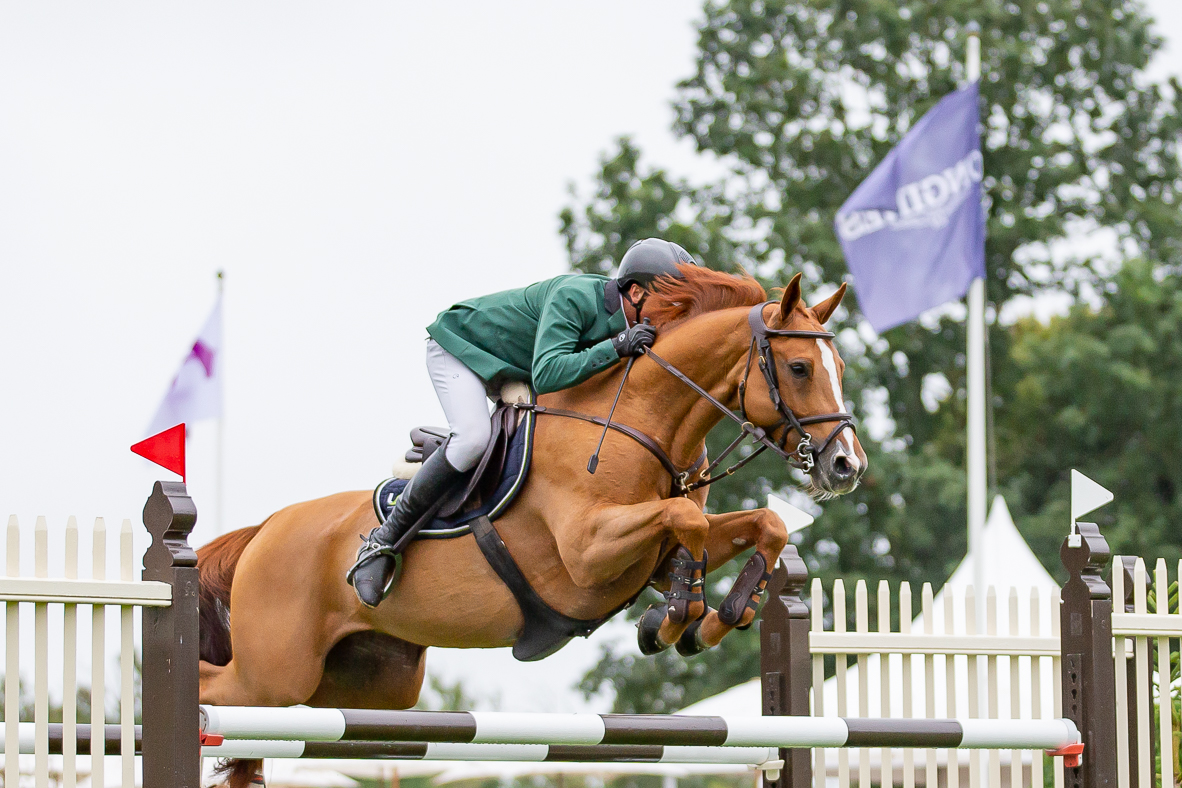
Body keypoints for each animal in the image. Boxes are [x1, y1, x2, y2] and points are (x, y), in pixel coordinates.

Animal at [197, 266, 865, 786]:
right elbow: (685, 522)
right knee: (209, 689)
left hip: (361, 688)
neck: (641, 421)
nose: (847, 465)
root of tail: (264, 531)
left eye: (838, 364)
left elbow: (763, 524)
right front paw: (677, 617)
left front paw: (716, 616)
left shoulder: (648, 549)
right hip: (273, 675)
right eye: (800, 367)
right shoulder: (588, 552)